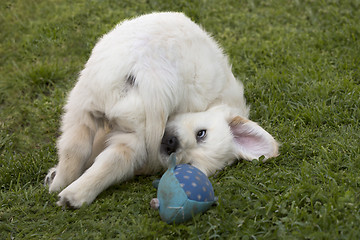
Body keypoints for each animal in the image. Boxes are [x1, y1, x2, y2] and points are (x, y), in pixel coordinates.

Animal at [43, 11, 278, 208]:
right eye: (201, 134)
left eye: (188, 164)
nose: (172, 145)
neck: (214, 102)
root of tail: (151, 69)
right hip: (90, 93)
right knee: (77, 146)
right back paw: (62, 184)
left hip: (101, 108)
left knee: (90, 150)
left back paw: (69, 191)